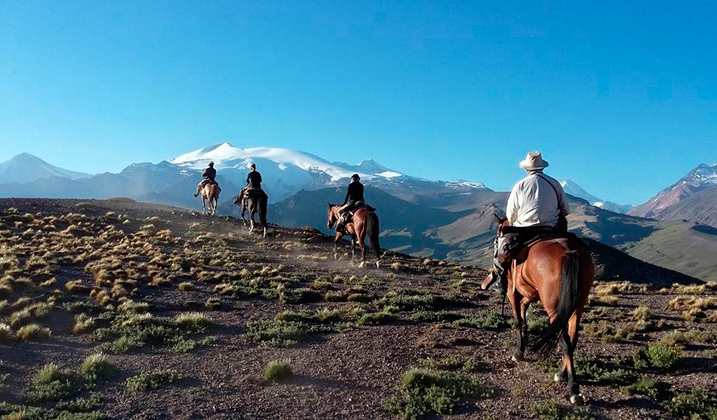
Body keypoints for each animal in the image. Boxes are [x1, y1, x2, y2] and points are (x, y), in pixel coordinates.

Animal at [490, 215, 596, 406]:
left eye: (498, 236)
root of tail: (570, 252)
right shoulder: (530, 293)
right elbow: (524, 310)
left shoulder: (512, 293)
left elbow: (517, 320)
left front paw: (519, 352)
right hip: (578, 304)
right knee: (573, 337)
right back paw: (562, 374)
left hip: (554, 308)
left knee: (565, 341)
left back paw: (573, 389)